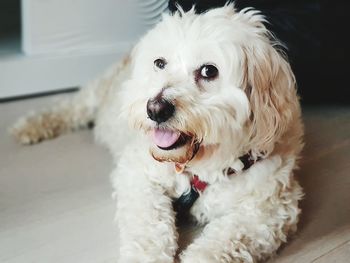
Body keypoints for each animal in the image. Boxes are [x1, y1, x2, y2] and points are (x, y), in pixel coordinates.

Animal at [12, 4, 304, 263]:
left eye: (209, 70)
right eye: (160, 63)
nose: (155, 109)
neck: (197, 165)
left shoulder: (269, 211)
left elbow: (226, 240)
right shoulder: (137, 174)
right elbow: (149, 225)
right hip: (95, 94)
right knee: (69, 107)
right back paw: (30, 126)